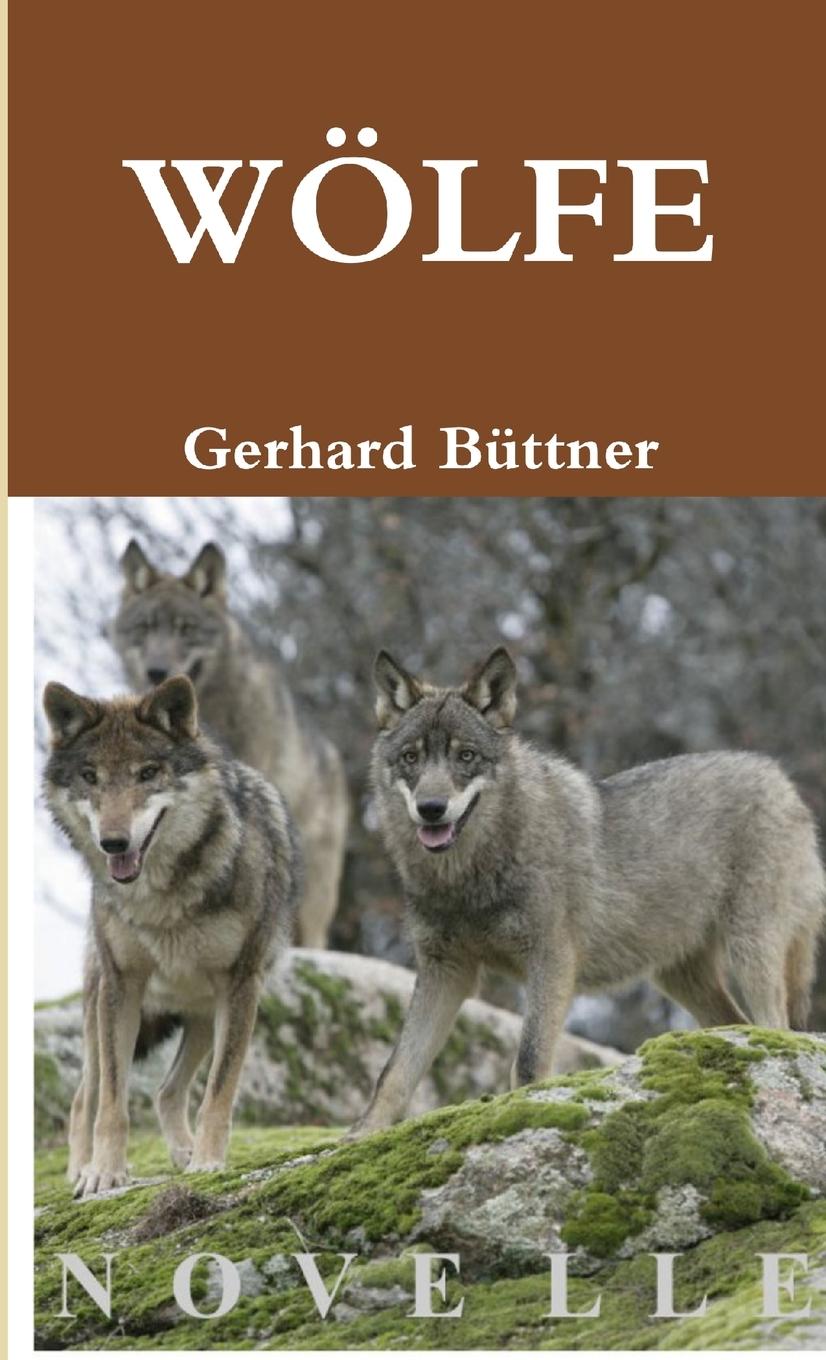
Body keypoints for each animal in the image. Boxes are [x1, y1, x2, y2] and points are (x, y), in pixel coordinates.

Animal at [42, 675, 300, 1196]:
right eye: (90, 776)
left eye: (147, 773)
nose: (114, 843)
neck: (161, 898)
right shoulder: (123, 986)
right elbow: (113, 1101)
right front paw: (104, 1173)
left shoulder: (241, 986)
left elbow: (219, 1091)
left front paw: (207, 1162)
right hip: (100, 1007)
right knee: (85, 1096)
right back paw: (80, 1169)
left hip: (202, 1014)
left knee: (166, 1091)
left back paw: (184, 1153)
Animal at [352, 647, 826, 1134]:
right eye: (411, 757)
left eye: (466, 756)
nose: (431, 809)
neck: (468, 878)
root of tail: (780, 778)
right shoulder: (445, 971)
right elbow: (395, 1072)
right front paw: (360, 1135)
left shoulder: (551, 960)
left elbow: (528, 1061)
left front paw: (523, 1112)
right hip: (680, 977)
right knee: (738, 1025)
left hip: (750, 951)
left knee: (776, 1027)